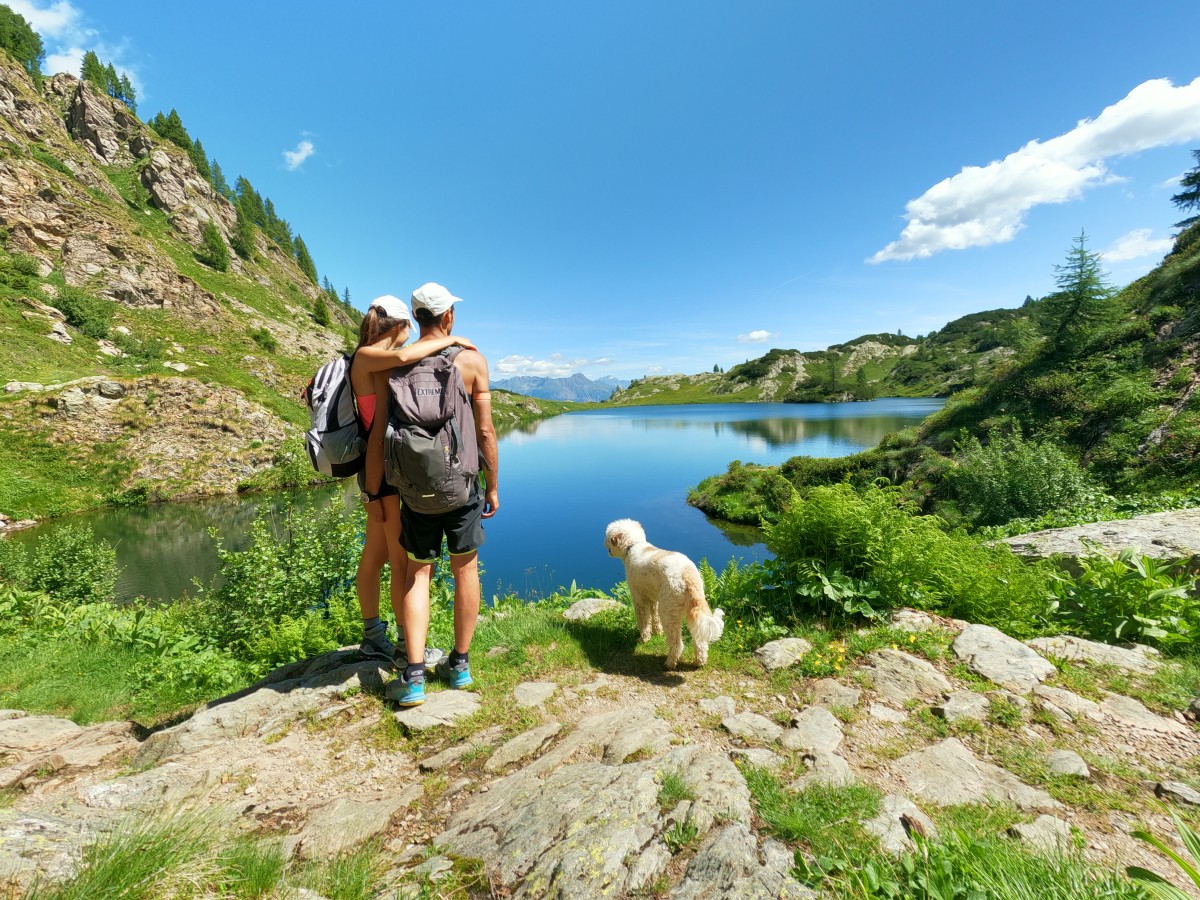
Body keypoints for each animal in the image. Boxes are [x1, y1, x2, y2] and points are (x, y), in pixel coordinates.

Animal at [604, 520, 724, 672]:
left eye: (608, 536)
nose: (605, 545)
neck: (634, 546)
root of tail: (688, 575)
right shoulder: (653, 598)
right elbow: (654, 617)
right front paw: (657, 632)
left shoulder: (639, 599)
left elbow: (644, 621)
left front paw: (643, 639)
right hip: (690, 609)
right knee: (700, 642)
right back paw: (699, 662)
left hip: (668, 610)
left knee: (677, 644)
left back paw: (669, 664)